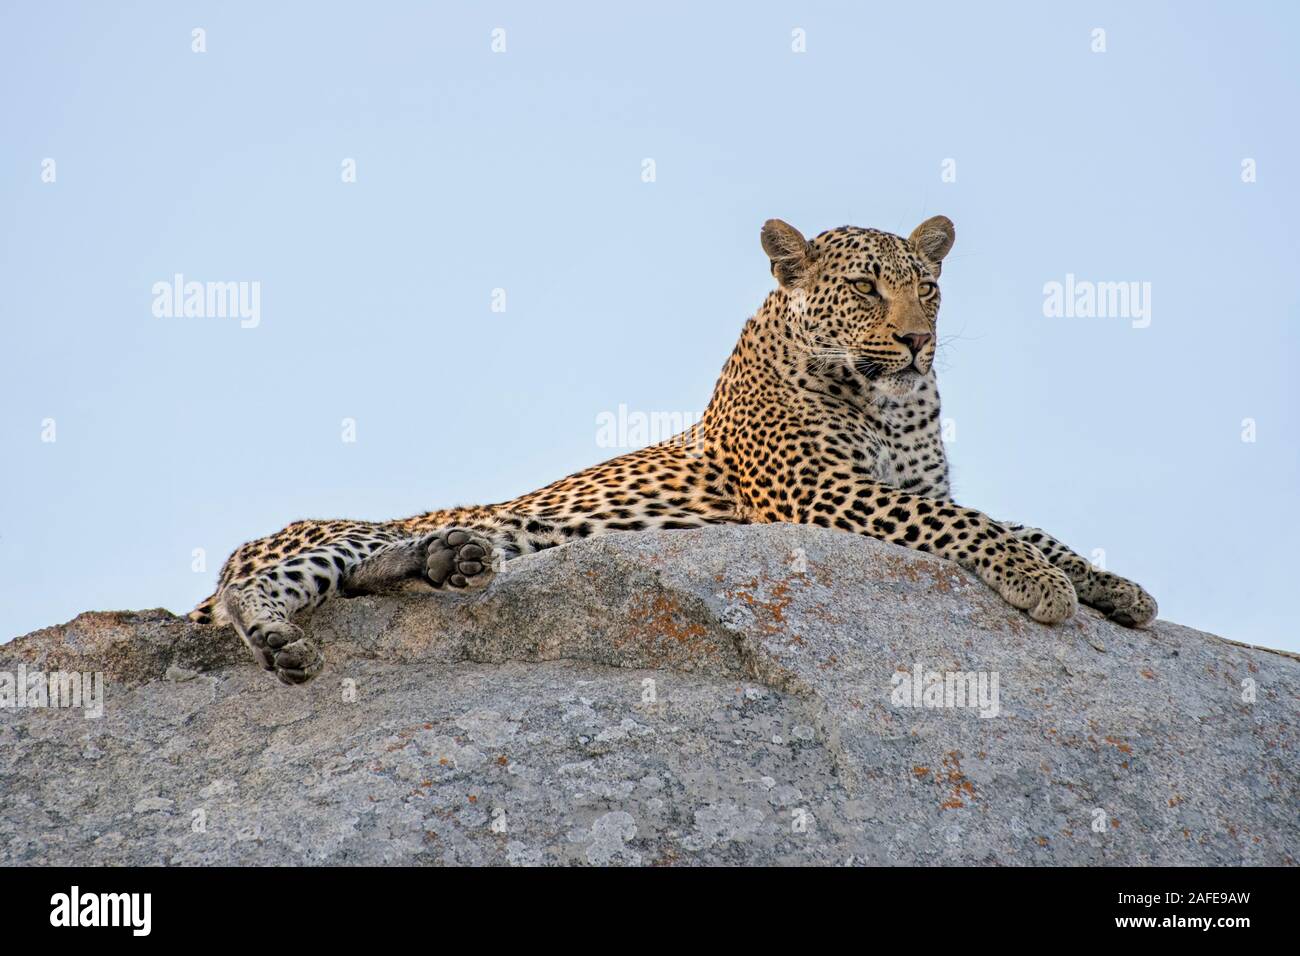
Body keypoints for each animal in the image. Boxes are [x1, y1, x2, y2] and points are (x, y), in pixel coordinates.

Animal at [189, 217, 1159, 686]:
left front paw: (1116, 586)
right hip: (314, 541)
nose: (917, 341)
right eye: (863, 288)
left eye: (928, 287)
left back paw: (450, 559)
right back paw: (283, 643)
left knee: (371, 575)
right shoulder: (823, 494)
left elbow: (1022, 521)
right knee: (256, 588)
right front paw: (1042, 583)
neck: (892, 403)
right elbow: (979, 527)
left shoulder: (919, 483)